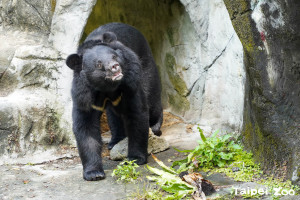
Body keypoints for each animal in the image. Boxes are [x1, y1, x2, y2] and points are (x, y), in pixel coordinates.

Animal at [66, 22, 163, 180]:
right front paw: (94, 173)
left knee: (152, 100)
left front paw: (135, 158)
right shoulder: (84, 95)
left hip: (146, 66)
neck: (107, 87)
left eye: (114, 56)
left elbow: (137, 114)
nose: (114, 67)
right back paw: (115, 141)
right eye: (99, 64)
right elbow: (86, 126)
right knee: (114, 116)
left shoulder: (130, 84)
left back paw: (156, 127)